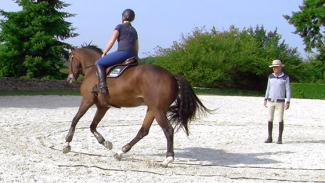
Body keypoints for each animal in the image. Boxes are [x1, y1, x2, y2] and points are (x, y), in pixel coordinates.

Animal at [64, 45, 209, 167]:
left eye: (70, 59)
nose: (69, 79)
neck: (93, 70)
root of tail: (172, 77)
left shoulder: (87, 101)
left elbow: (75, 120)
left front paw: (67, 143)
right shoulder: (102, 106)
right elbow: (92, 126)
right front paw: (106, 143)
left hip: (158, 110)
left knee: (168, 130)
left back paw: (168, 158)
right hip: (152, 109)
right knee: (143, 131)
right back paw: (121, 152)